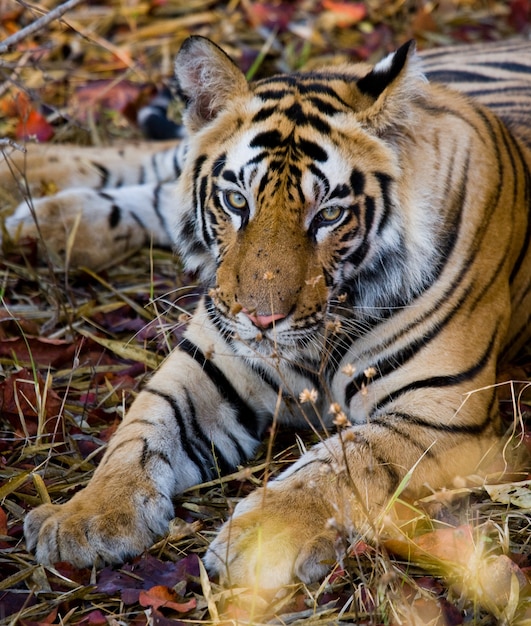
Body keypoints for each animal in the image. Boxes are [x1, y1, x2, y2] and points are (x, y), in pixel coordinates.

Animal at [2, 35, 528, 588]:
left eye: (329, 215)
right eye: (236, 202)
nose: (261, 320)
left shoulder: (445, 413)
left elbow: (343, 464)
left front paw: (262, 540)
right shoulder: (209, 365)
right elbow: (138, 432)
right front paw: (84, 517)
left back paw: (45, 218)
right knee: (162, 160)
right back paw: (31, 182)